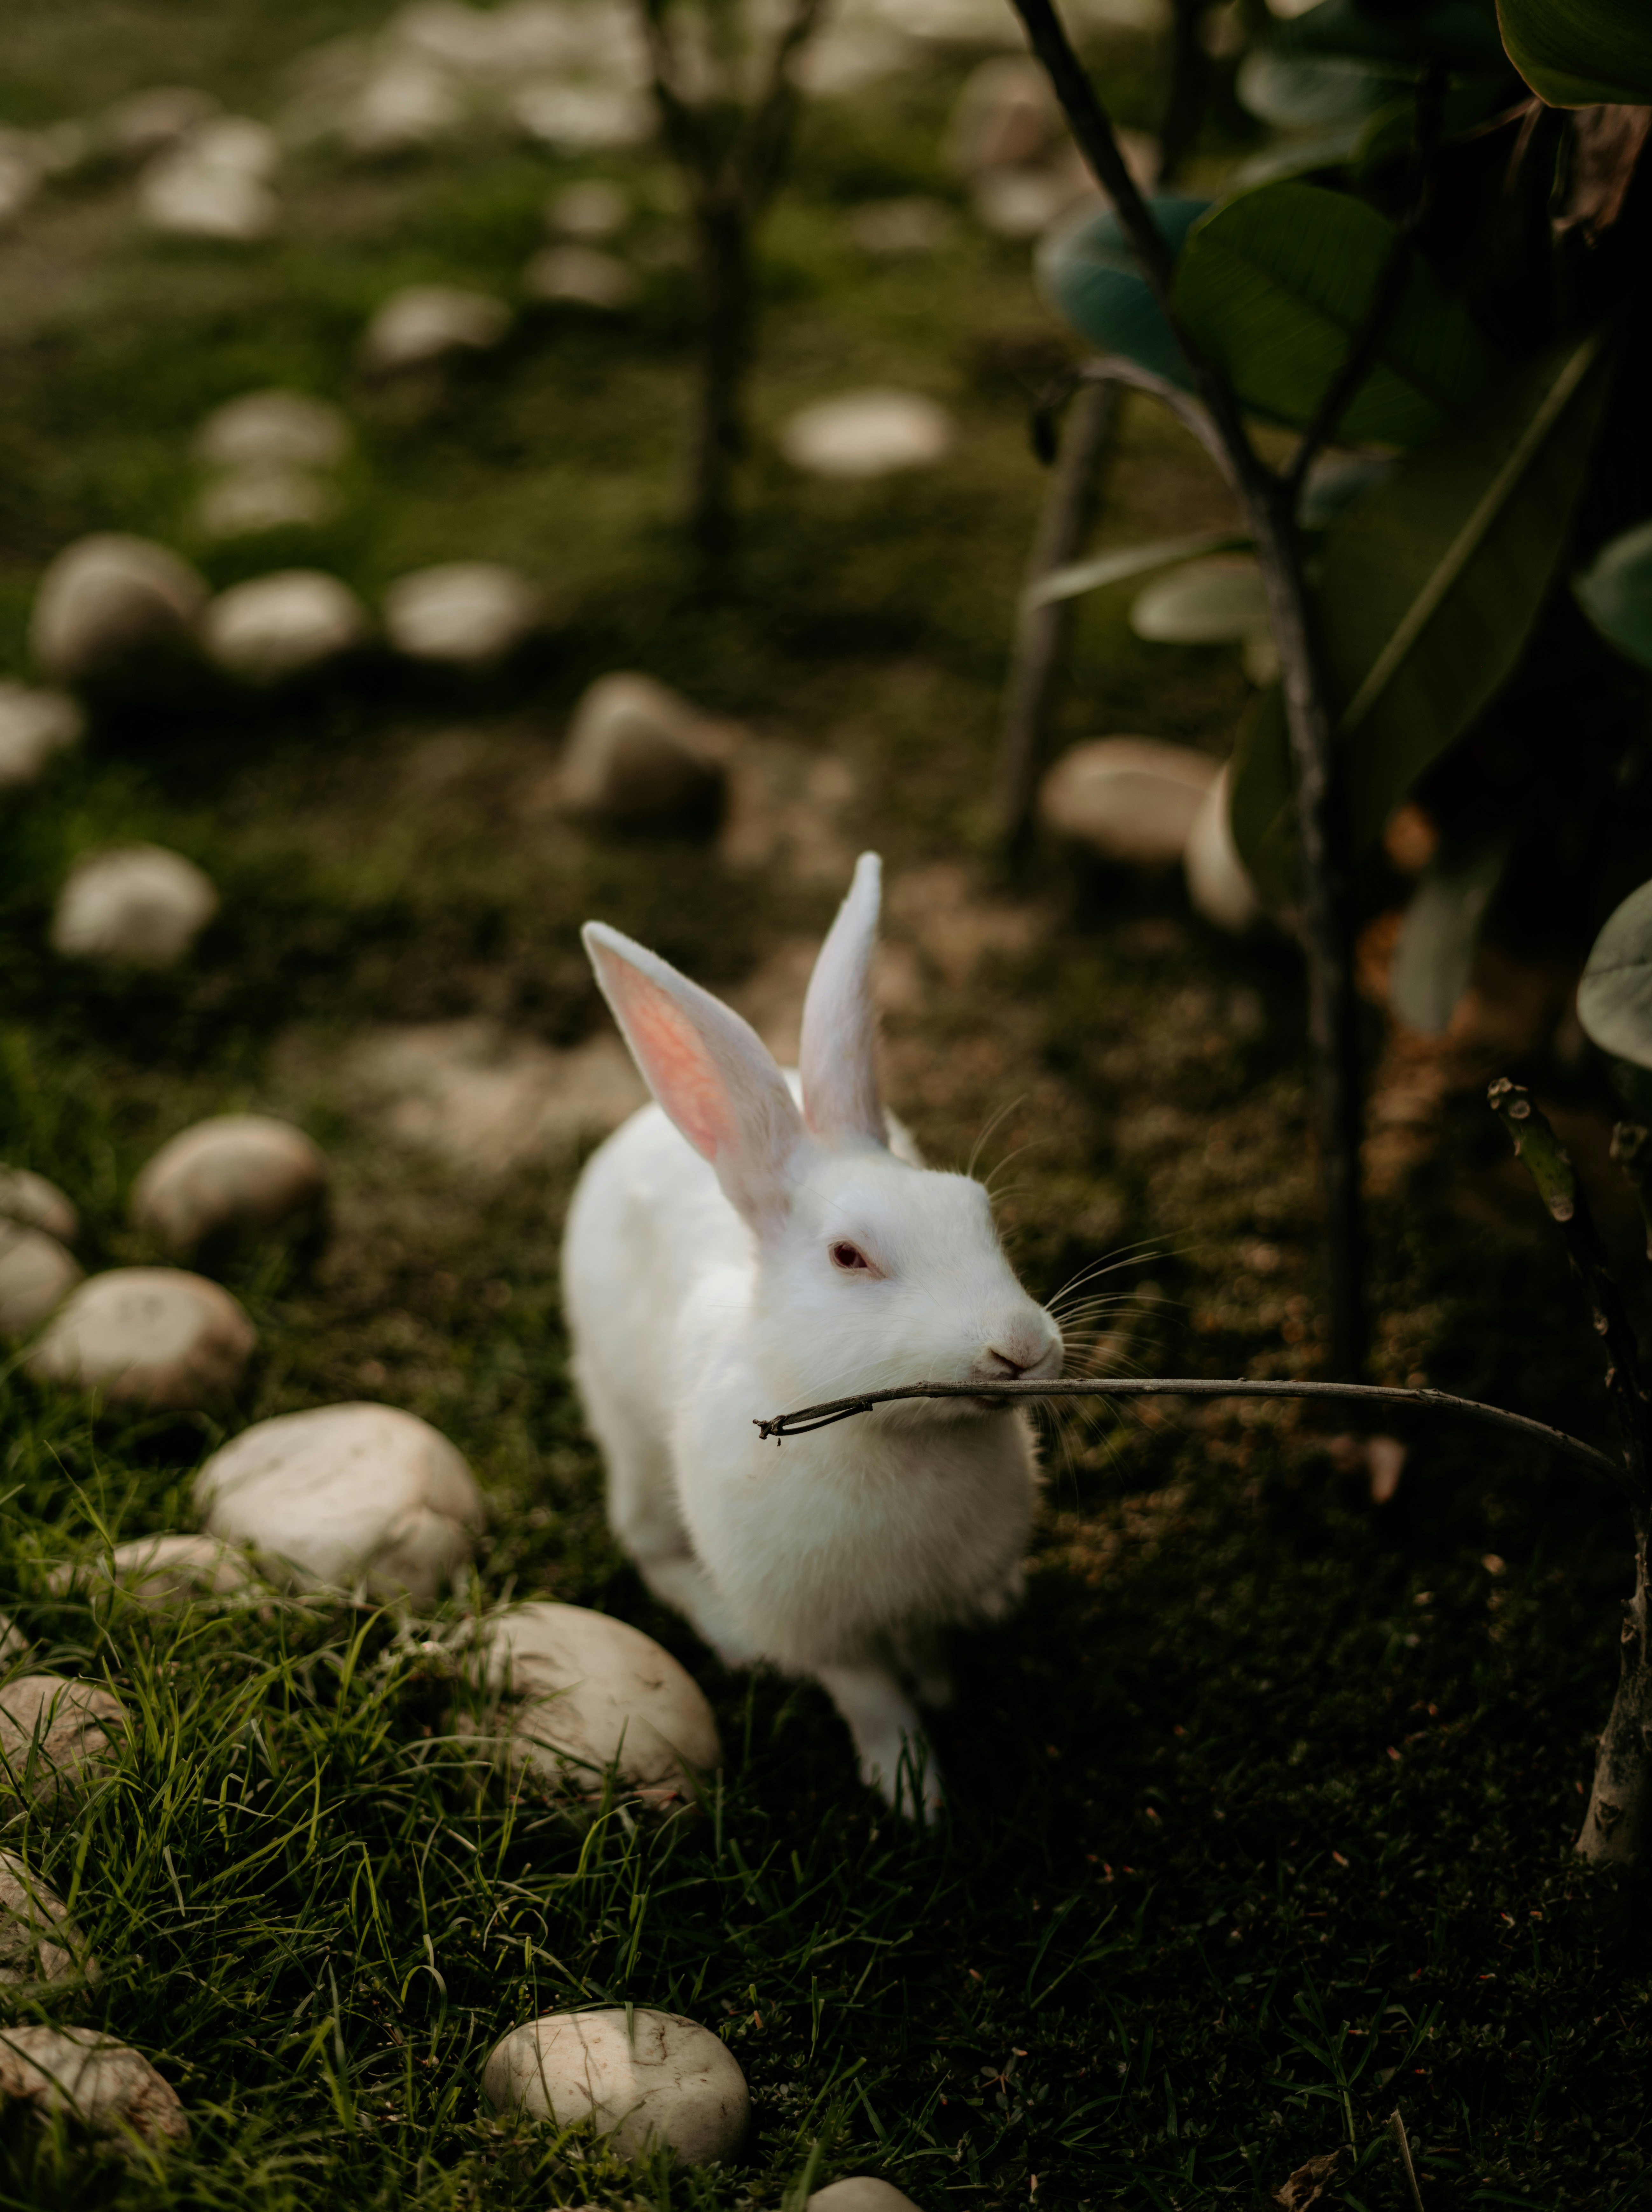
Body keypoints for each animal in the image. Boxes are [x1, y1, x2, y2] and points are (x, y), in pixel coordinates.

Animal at [562, 854, 1066, 1805]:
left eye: (977, 1210)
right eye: (848, 1256)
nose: (1022, 1348)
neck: (901, 1436)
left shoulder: (923, 1601)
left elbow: (926, 1650)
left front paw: (942, 1693)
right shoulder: (820, 1628)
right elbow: (870, 1695)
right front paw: (913, 1792)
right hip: (628, 1429)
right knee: (649, 1544)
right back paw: (729, 1634)